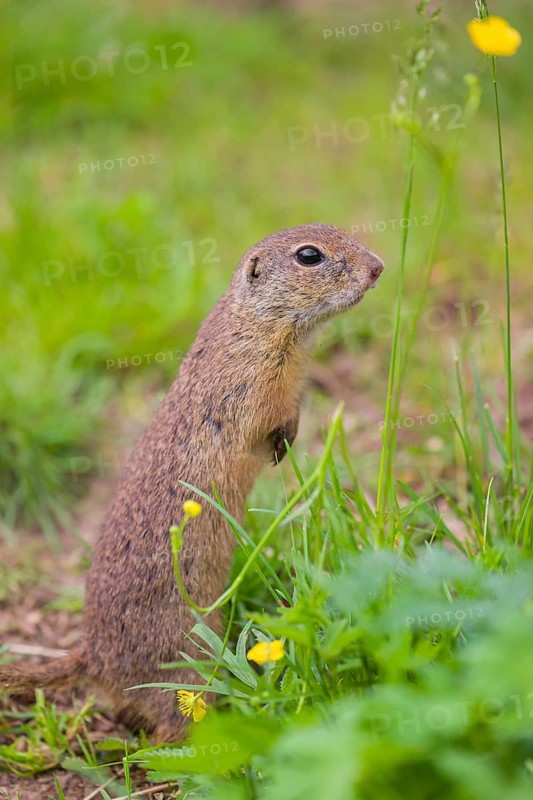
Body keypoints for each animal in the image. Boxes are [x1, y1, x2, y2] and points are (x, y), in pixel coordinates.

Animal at [0, 223, 383, 742]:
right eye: (309, 256)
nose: (378, 267)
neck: (257, 326)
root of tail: (92, 661)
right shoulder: (254, 386)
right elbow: (270, 416)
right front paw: (284, 441)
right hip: (183, 664)